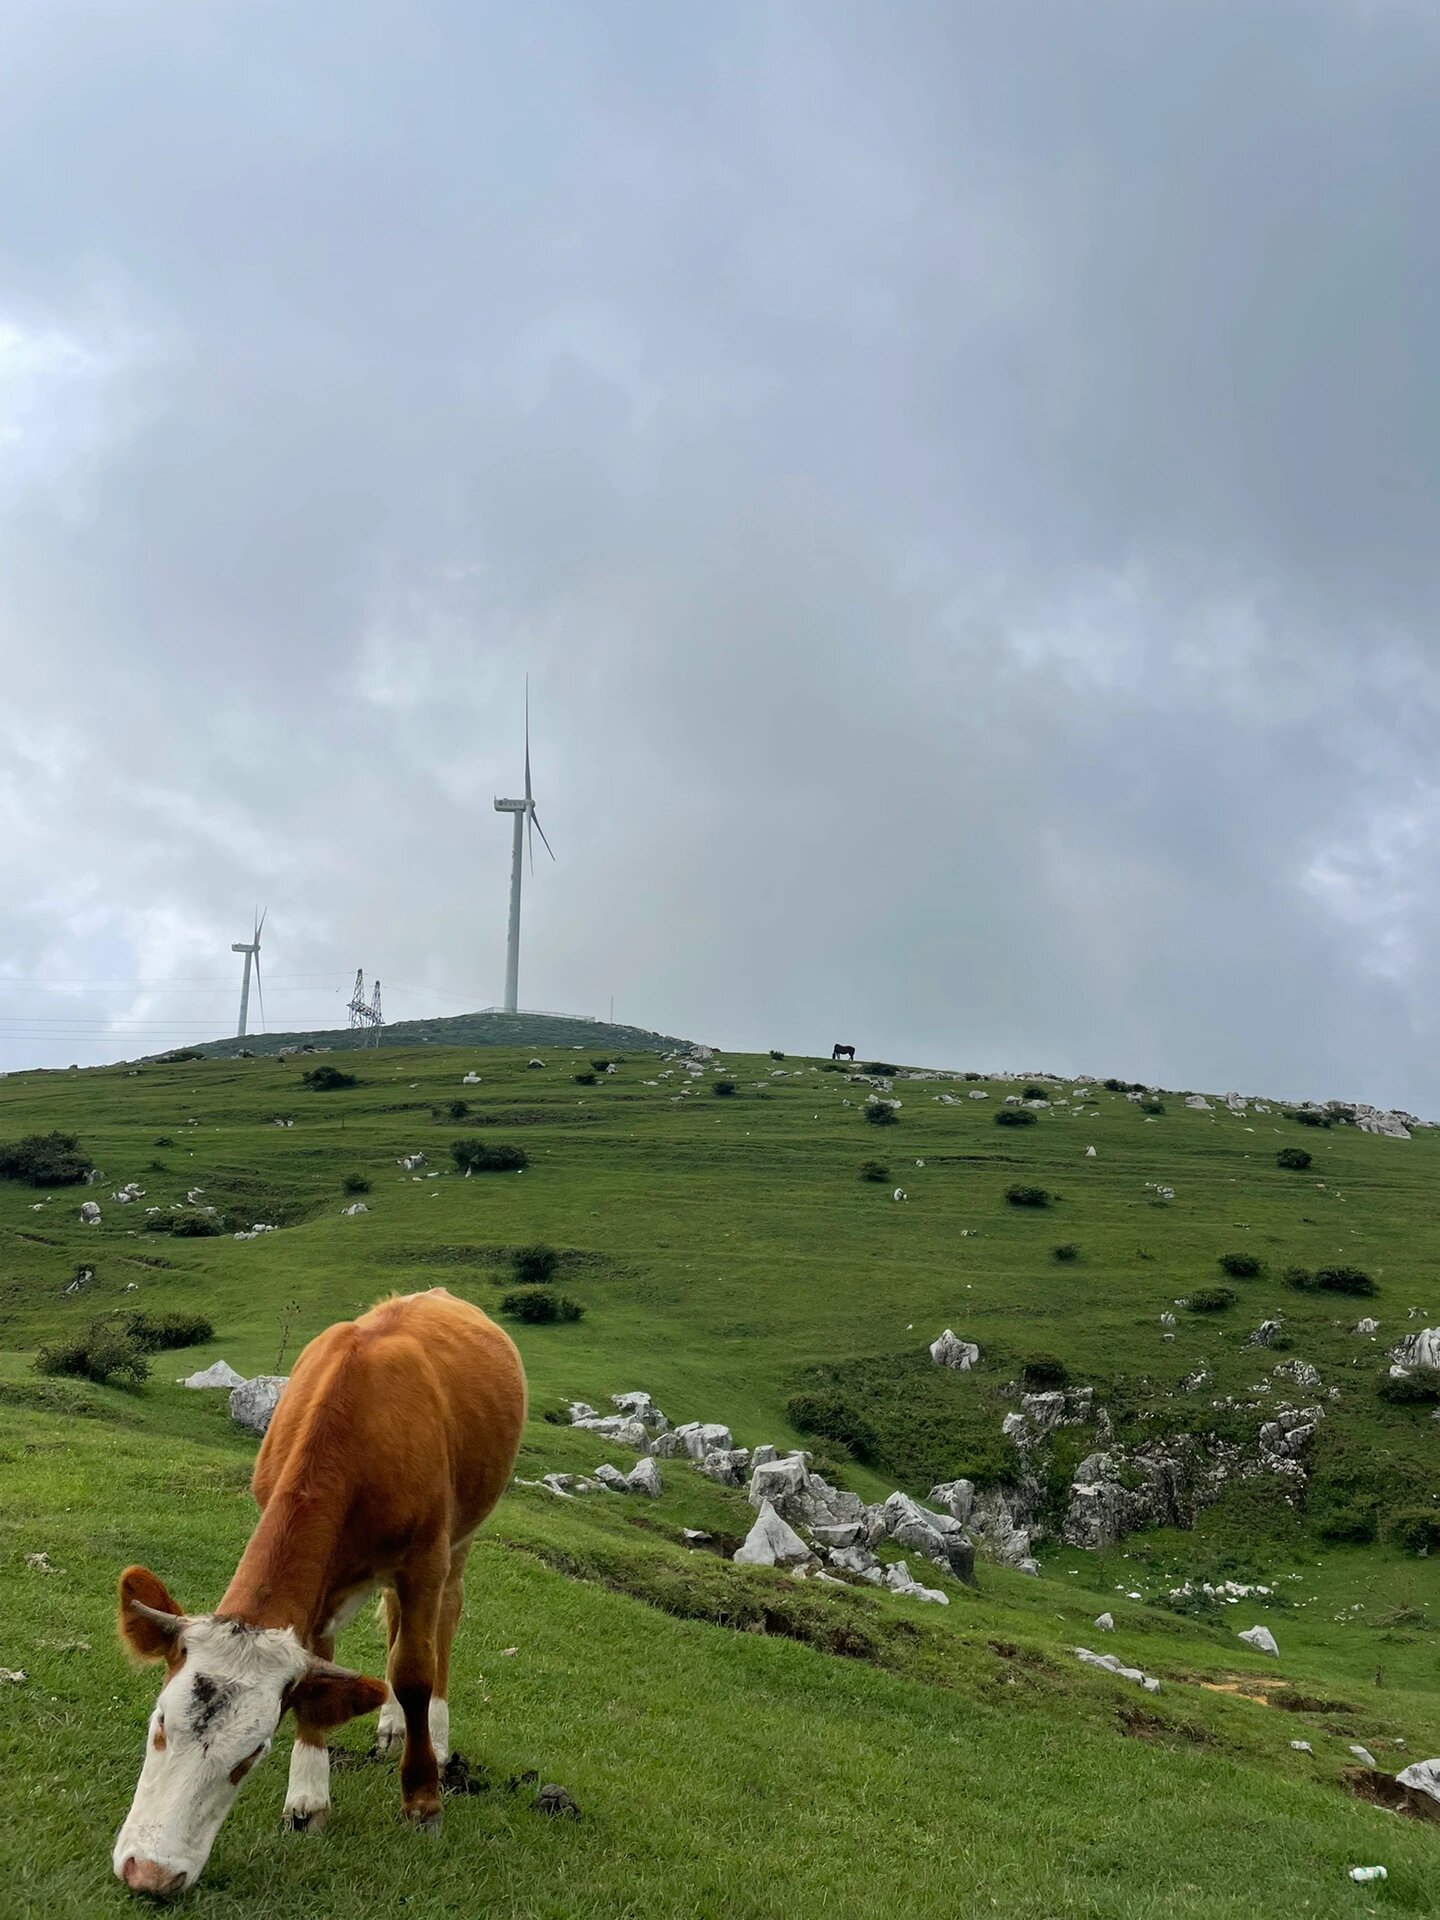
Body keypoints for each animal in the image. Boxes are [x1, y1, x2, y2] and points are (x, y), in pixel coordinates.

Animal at [112, 1282, 526, 1896]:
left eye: (253, 1753)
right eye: (161, 1723)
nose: (149, 1871)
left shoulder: (424, 1556)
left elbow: (413, 1671)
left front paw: (422, 1801)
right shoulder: (320, 1583)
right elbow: (320, 1670)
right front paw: (307, 1799)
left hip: (462, 1534)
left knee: (441, 1624)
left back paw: (435, 1733)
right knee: (396, 1618)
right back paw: (393, 1726)